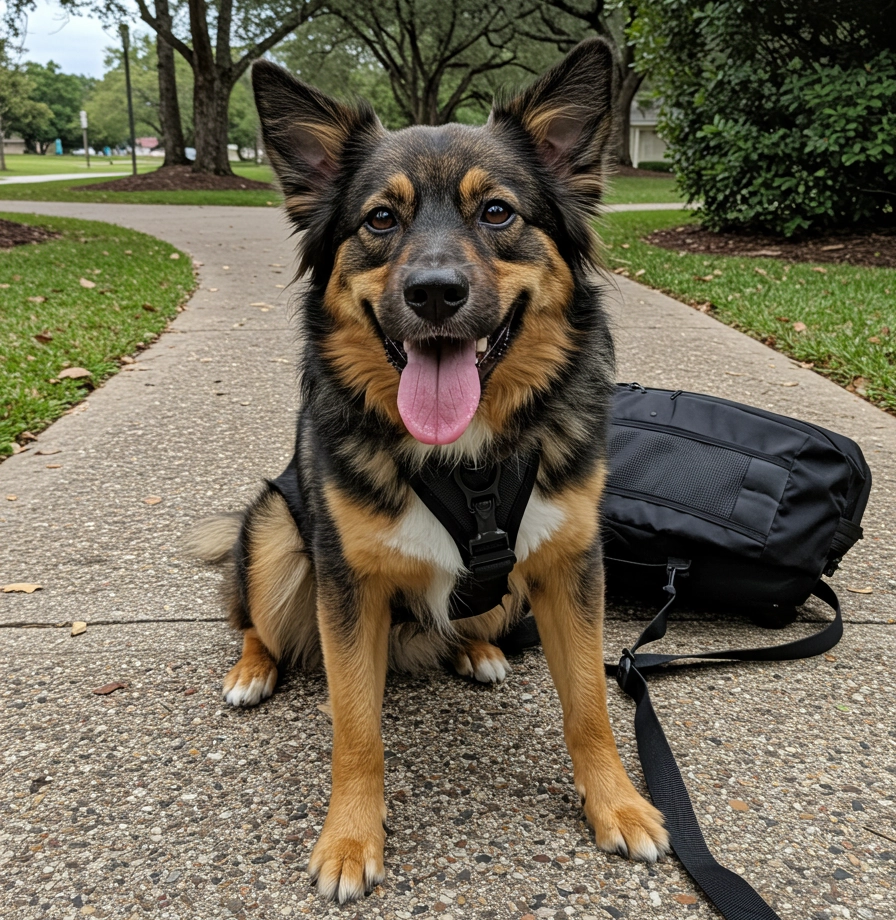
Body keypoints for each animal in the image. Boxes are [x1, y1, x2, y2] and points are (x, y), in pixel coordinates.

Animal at [187, 39, 664, 904]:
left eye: (498, 212)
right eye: (381, 218)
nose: (435, 293)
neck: (464, 458)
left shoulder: (573, 563)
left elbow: (588, 706)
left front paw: (618, 805)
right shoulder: (345, 581)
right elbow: (355, 727)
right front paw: (349, 840)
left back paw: (477, 650)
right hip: (275, 528)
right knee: (251, 618)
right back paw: (252, 669)